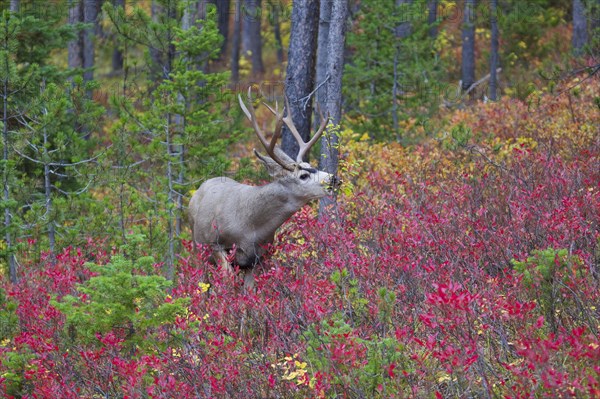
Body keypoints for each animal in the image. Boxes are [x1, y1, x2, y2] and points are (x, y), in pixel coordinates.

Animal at [190, 92, 340, 286]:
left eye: (309, 165)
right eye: (303, 175)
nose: (334, 179)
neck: (250, 228)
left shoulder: (257, 258)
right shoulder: (215, 244)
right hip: (197, 248)